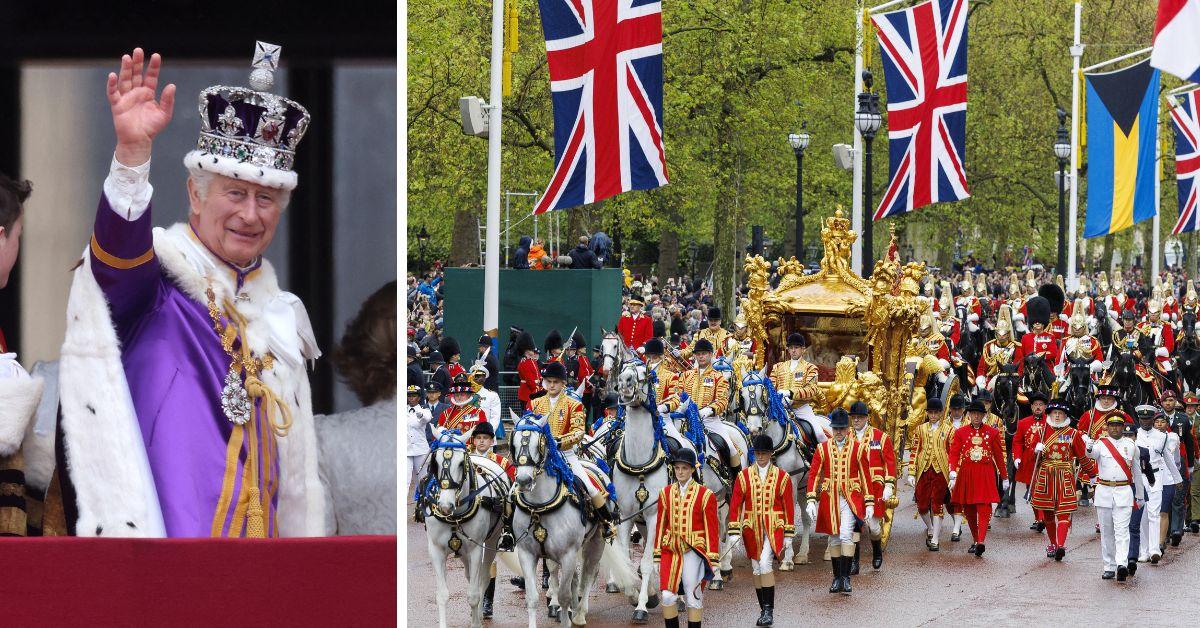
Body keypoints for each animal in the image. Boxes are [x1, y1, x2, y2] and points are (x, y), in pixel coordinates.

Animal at [424, 427, 513, 628]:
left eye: (460, 463)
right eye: (436, 462)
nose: (445, 506)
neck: (454, 517)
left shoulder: (475, 549)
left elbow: (473, 594)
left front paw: (476, 622)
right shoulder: (436, 550)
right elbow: (442, 595)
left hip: (490, 542)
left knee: (484, 577)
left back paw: (480, 613)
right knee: (470, 576)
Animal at [508, 415, 643, 624]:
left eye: (539, 443)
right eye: (513, 443)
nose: (524, 481)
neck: (540, 507)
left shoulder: (568, 554)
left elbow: (564, 595)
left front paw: (566, 613)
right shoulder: (527, 553)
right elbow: (532, 597)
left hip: (596, 541)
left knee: (589, 572)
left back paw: (580, 613)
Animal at [734, 372, 820, 571]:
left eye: (763, 395)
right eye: (742, 396)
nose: (754, 429)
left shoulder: (791, 483)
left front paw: (787, 559)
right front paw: (771, 552)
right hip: (804, 487)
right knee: (806, 518)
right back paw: (803, 553)